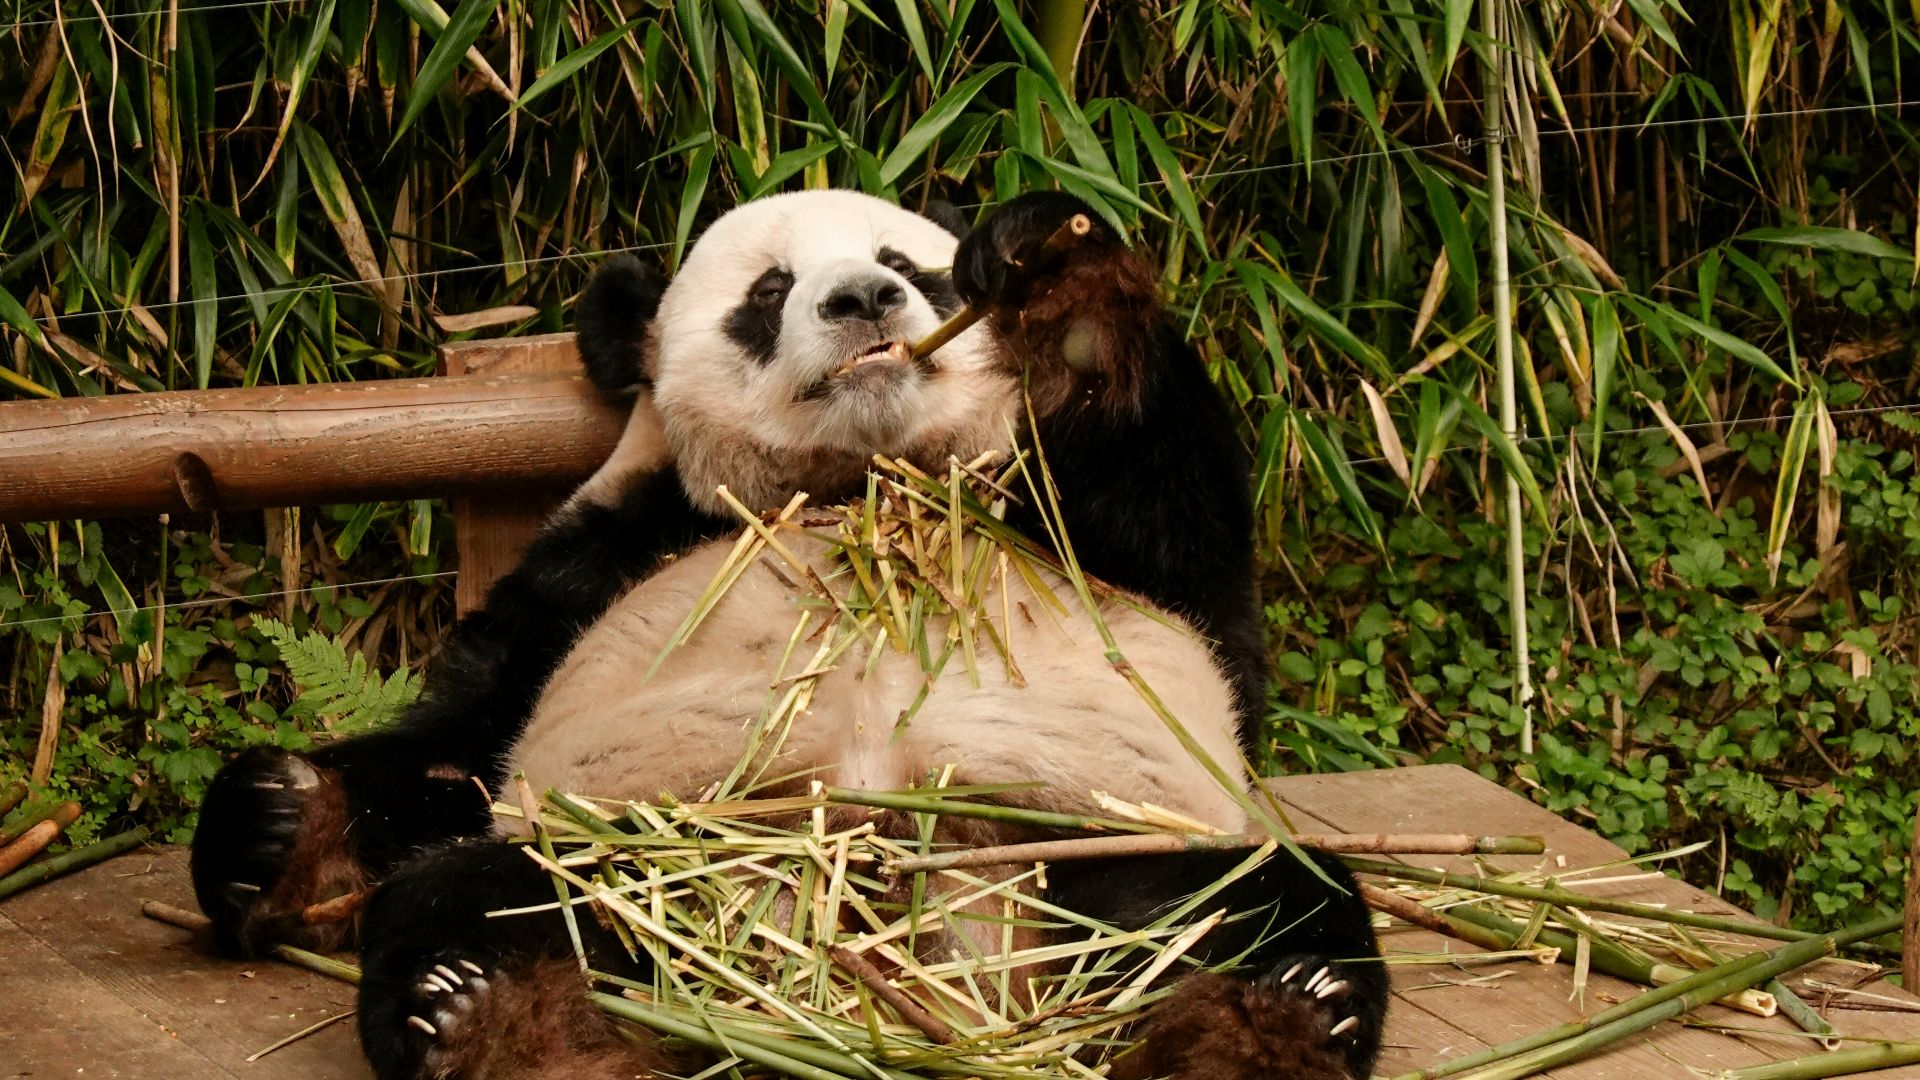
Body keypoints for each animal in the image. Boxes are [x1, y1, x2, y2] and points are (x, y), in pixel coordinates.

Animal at [188, 190, 1389, 1080]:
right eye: (768, 293)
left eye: (911, 264)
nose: (864, 298)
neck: (861, 483)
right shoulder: (615, 547)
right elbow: (456, 744)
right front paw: (274, 824)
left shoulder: (1089, 541)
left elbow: (1197, 575)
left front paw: (1061, 286)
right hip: (642, 861)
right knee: (485, 899)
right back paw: (495, 1022)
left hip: (1096, 849)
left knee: (1254, 908)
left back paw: (1280, 1020)